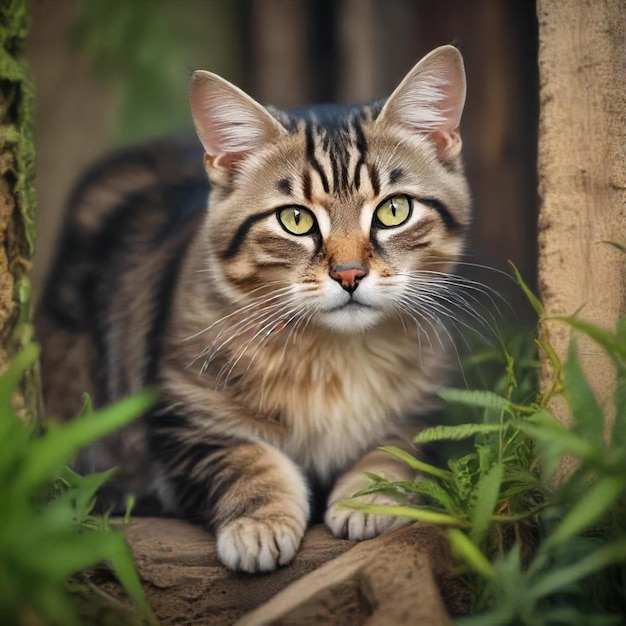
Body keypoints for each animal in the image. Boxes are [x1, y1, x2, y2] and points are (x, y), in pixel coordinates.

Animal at [36, 44, 468, 572]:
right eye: (296, 219)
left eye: (393, 210)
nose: (349, 275)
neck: (333, 356)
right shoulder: (187, 419)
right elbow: (249, 460)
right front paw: (259, 524)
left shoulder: (423, 413)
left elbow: (397, 454)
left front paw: (371, 496)